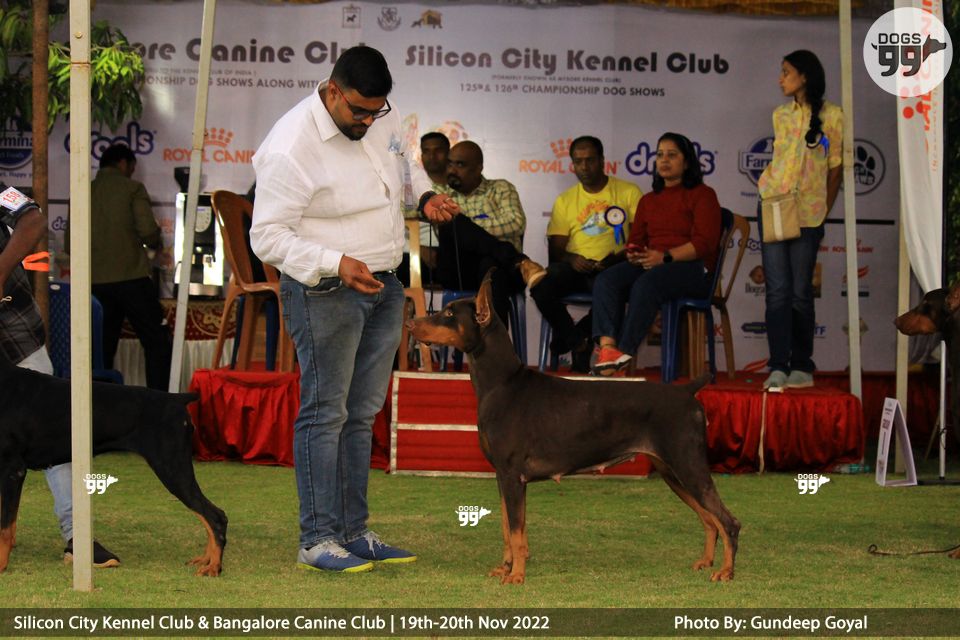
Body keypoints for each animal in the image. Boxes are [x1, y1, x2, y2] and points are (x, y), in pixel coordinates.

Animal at [0, 355, 227, 575]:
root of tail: (176, 398)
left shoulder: (12, 469)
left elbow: (5, 526)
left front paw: (1, 565)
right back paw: (205, 560)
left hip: (172, 467)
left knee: (216, 516)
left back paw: (213, 567)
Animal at [407, 274, 739, 584]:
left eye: (449, 313)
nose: (410, 323)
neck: (501, 382)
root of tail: (687, 391)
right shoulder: (502, 476)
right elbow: (506, 527)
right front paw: (505, 567)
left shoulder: (513, 475)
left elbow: (515, 531)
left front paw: (516, 575)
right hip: (672, 471)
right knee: (709, 520)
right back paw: (706, 562)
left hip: (688, 464)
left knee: (728, 521)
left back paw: (726, 571)